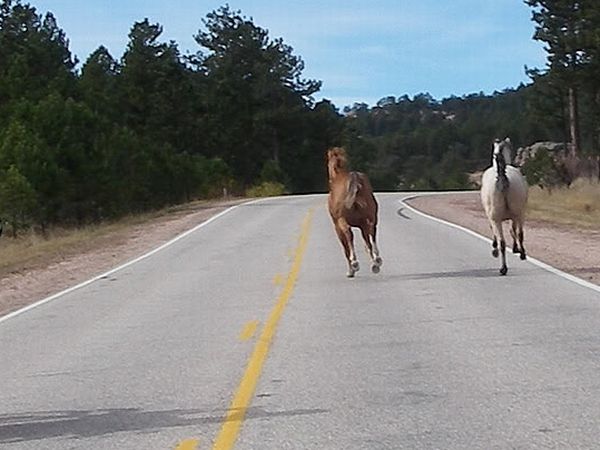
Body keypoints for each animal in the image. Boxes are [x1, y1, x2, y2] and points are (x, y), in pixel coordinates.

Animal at [326, 148, 382, 276]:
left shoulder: (337, 226)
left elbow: (345, 248)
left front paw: (351, 270)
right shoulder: (362, 224)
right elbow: (367, 244)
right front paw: (374, 265)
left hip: (342, 220)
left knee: (349, 234)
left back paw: (355, 263)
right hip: (371, 217)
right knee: (372, 232)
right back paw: (377, 260)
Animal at [480, 137, 528, 276]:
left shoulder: (493, 217)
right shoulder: (512, 216)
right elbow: (513, 231)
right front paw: (516, 249)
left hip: (503, 217)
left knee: (505, 240)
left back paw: (504, 266)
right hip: (519, 213)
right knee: (517, 234)